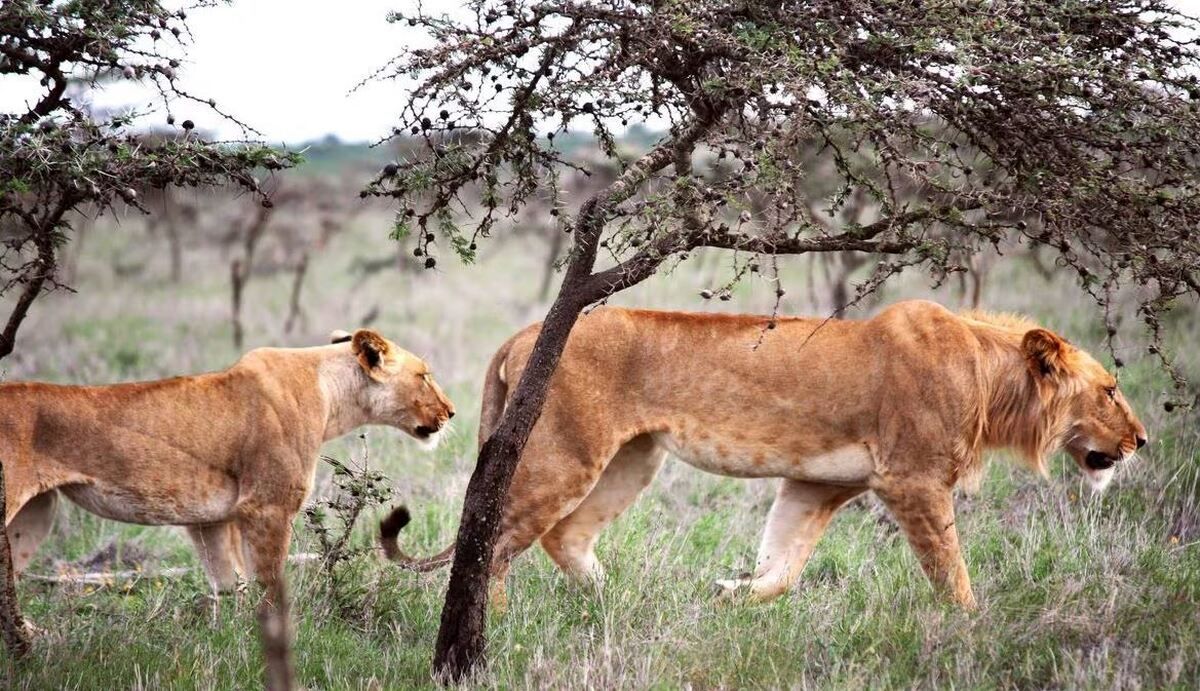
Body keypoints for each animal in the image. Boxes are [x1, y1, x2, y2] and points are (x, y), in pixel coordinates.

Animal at [2, 328, 451, 599]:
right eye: (424, 375)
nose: (452, 411)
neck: (331, 396)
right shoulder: (267, 507)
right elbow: (269, 587)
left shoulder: (212, 520)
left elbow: (229, 588)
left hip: (37, 513)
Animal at [388, 302, 1147, 609]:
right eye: (1110, 390)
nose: (1142, 439)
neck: (991, 381)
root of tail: (525, 333)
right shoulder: (914, 481)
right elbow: (951, 570)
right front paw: (973, 628)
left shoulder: (816, 486)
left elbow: (784, 567)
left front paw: (728, 594)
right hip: (566, 452)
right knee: (495, 540)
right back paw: (492, 629)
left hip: (633, 458)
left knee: (563, 536)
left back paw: (619, 598)